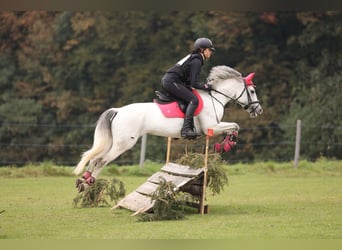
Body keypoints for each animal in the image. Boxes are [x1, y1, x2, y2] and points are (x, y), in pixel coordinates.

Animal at [73, 65, 264, 190]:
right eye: (252, 91)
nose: (259, 110)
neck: (214, 98)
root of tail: (118, 110)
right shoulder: (212, 127)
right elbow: (235, 126)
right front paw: (227, 144)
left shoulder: (214, 127)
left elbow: (234, 127)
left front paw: (224, 144)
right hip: (124, 144)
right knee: (101, 160)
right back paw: (88, 182)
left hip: (115, 142)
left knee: (94, 158)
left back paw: (84, 181)